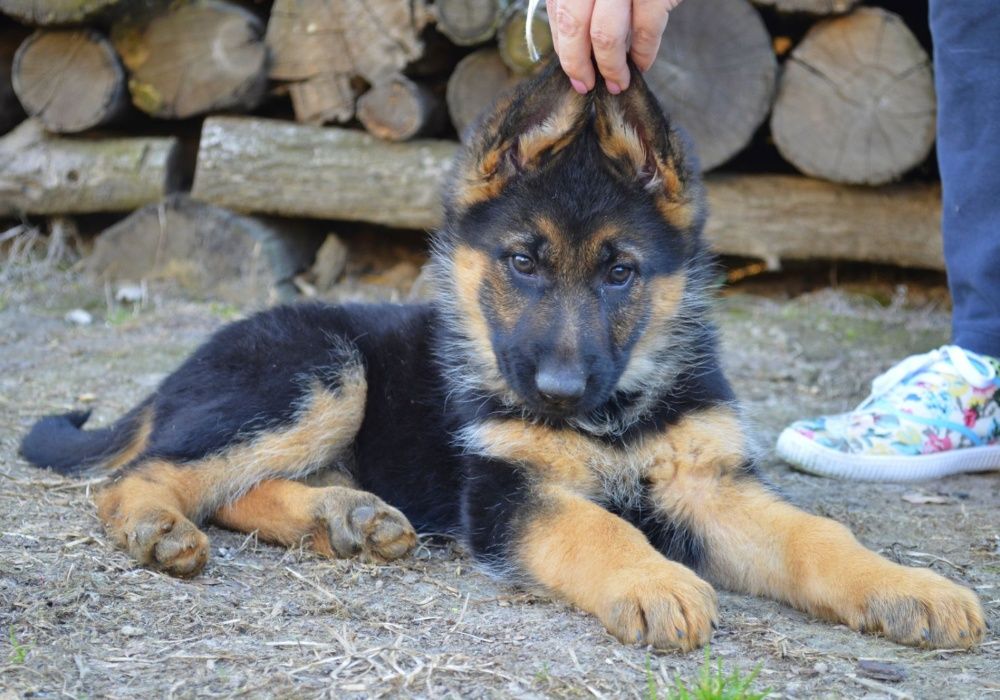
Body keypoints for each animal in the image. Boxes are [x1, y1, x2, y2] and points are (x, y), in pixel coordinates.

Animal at [21, 58, 984, 652]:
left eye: (621, 273)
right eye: (522, 262)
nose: (556, 390)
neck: (611, 412)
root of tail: (184, 367)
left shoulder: (710, 484)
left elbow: (819, 534)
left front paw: (909, 588)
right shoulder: (509, 490)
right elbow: (598, 526)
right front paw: (656, 582)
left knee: (229, 485)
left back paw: (342, 517)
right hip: (321, 372)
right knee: (144, 476)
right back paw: (159, 527)